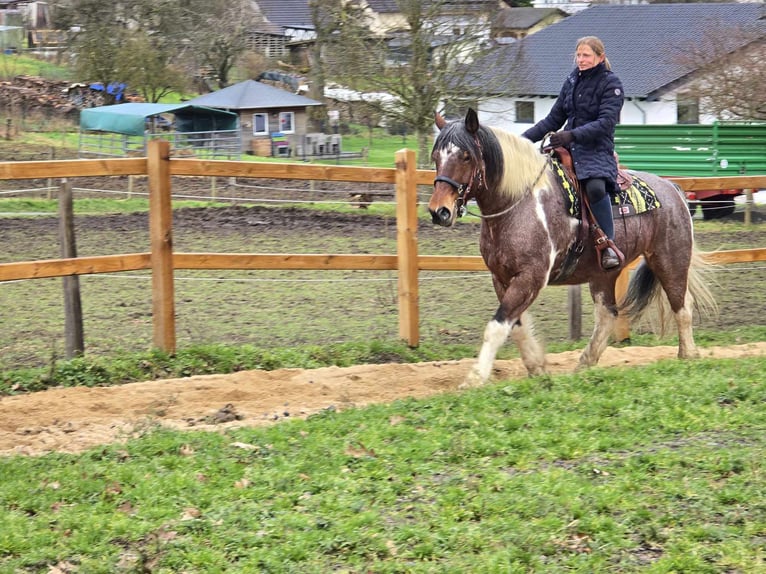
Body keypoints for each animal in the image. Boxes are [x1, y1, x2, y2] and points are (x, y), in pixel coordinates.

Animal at [428, 110, 716, 390]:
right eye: (436, 156)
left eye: (466, 156)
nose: (439, 211)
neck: (519, 203)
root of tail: (672, 189)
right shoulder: (501, 278)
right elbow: (515, 326)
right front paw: (537, 368)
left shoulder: (530, 278)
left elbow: (497, 326)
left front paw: (475, 378)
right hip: (605, 274)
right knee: (608, 314)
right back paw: (585, 363)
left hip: (670, 259)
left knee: (682, 305)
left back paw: (688, 355)